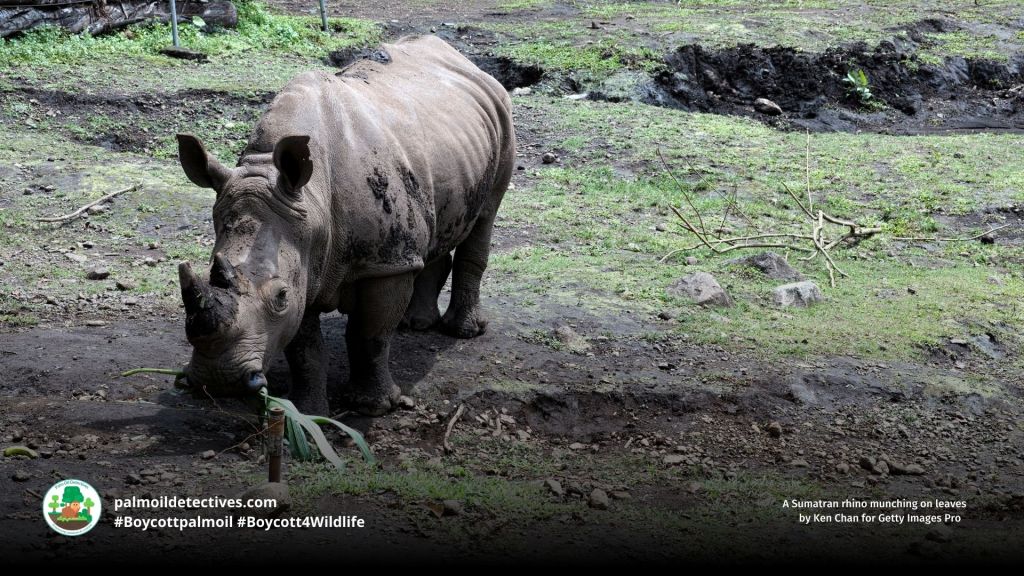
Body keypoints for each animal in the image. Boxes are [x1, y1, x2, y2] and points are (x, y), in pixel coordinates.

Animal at [175, 35, 515, 416]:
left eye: (280, 296)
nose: (217, 381)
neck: (311, 201)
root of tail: (465, 61)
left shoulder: (384, 262)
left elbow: (369, 335)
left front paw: (373, 407)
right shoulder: (303, 255)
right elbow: (304, 349)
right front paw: (309, 413)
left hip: (502, 117)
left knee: (485, 216)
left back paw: (464, 332)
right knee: (432, 230)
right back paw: (416, 325)